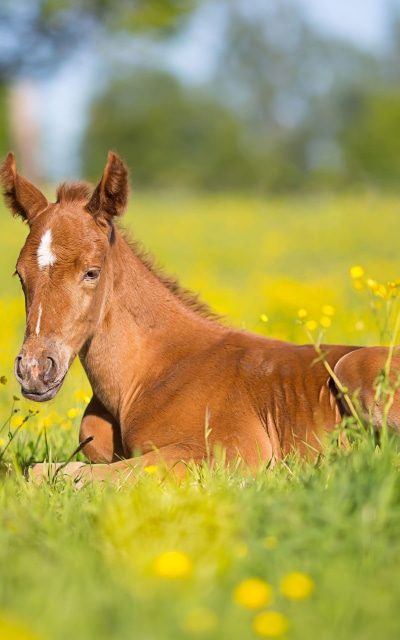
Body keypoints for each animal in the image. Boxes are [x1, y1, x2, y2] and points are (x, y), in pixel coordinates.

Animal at [1, 151, 400, 484]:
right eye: (19, 274)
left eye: (91, 272)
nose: (35, 368)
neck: (147, 373)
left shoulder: (235, 448)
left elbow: (64, 473)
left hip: (352, 370)